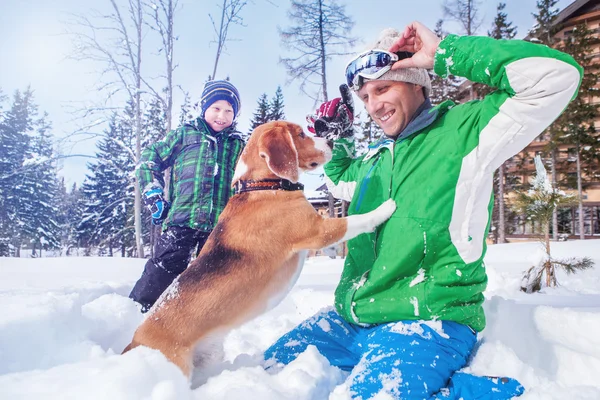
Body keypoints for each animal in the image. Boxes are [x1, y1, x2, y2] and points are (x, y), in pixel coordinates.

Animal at [122, 121, 396, 378]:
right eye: (301, 134)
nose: (330, 142)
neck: (262, 185)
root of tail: (133, 342)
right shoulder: (317, 230)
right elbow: (354, 221)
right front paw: (386, 208)